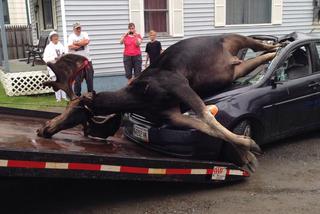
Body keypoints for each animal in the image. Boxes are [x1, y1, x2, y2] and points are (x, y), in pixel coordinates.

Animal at [37, 33, 278, 171]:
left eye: (71, 108)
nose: (43, 128)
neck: (138, 98)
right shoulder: (171, 113)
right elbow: (208, 128)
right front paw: (246, 153)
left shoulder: (179, 84)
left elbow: (209, 118)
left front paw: (249, 145)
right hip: (237, 68)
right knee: (262, 56)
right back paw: (276, 50)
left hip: (236, 38)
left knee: (261, 45)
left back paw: (279, 44)